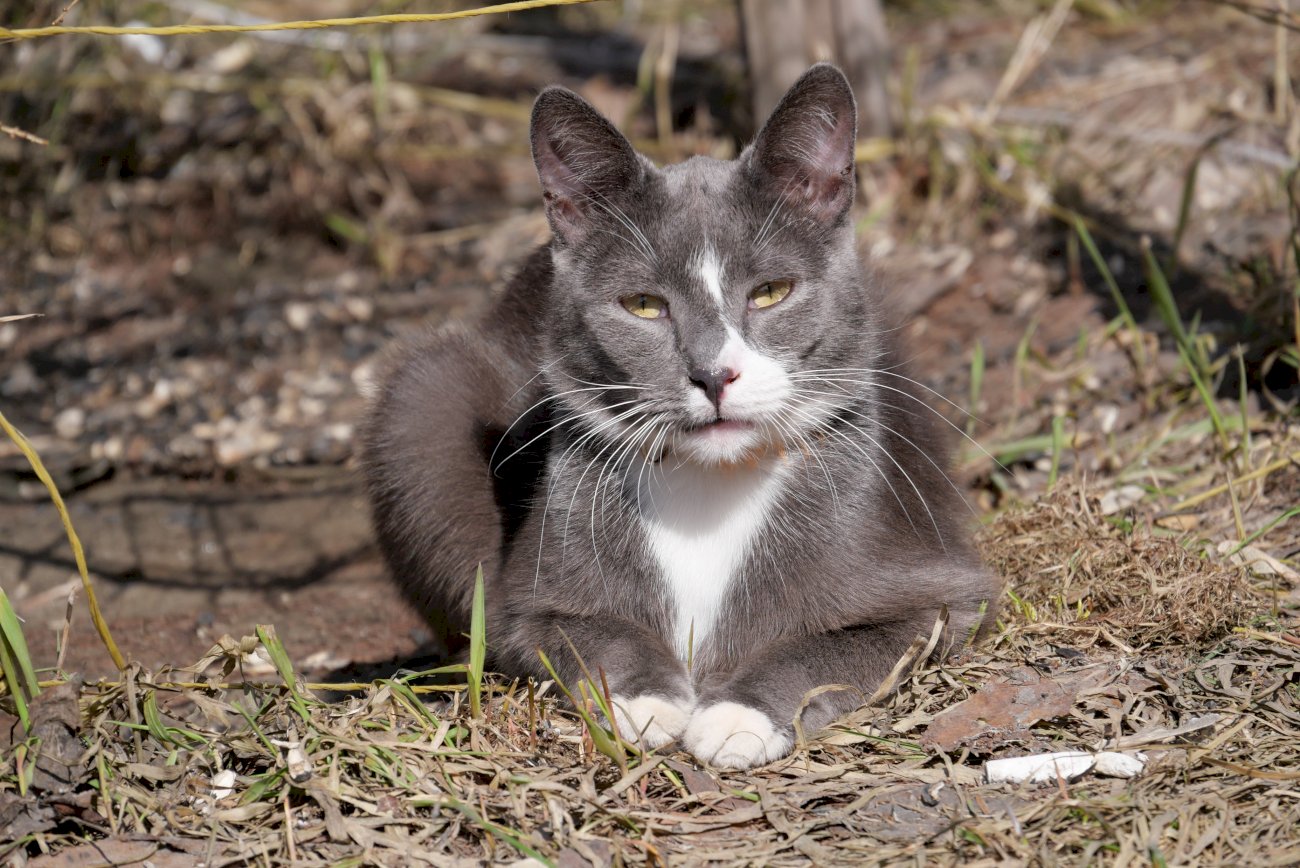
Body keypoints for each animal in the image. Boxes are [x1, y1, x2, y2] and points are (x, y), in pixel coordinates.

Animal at [361, 66, 998, 774]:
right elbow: (580, 631)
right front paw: (644, 700)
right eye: (643, 305)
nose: (714, 374)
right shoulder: (529, 591)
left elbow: (840, 643)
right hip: (422, 405)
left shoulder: (933, 582)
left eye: (771, 292)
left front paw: (737, 715)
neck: (710, 486)